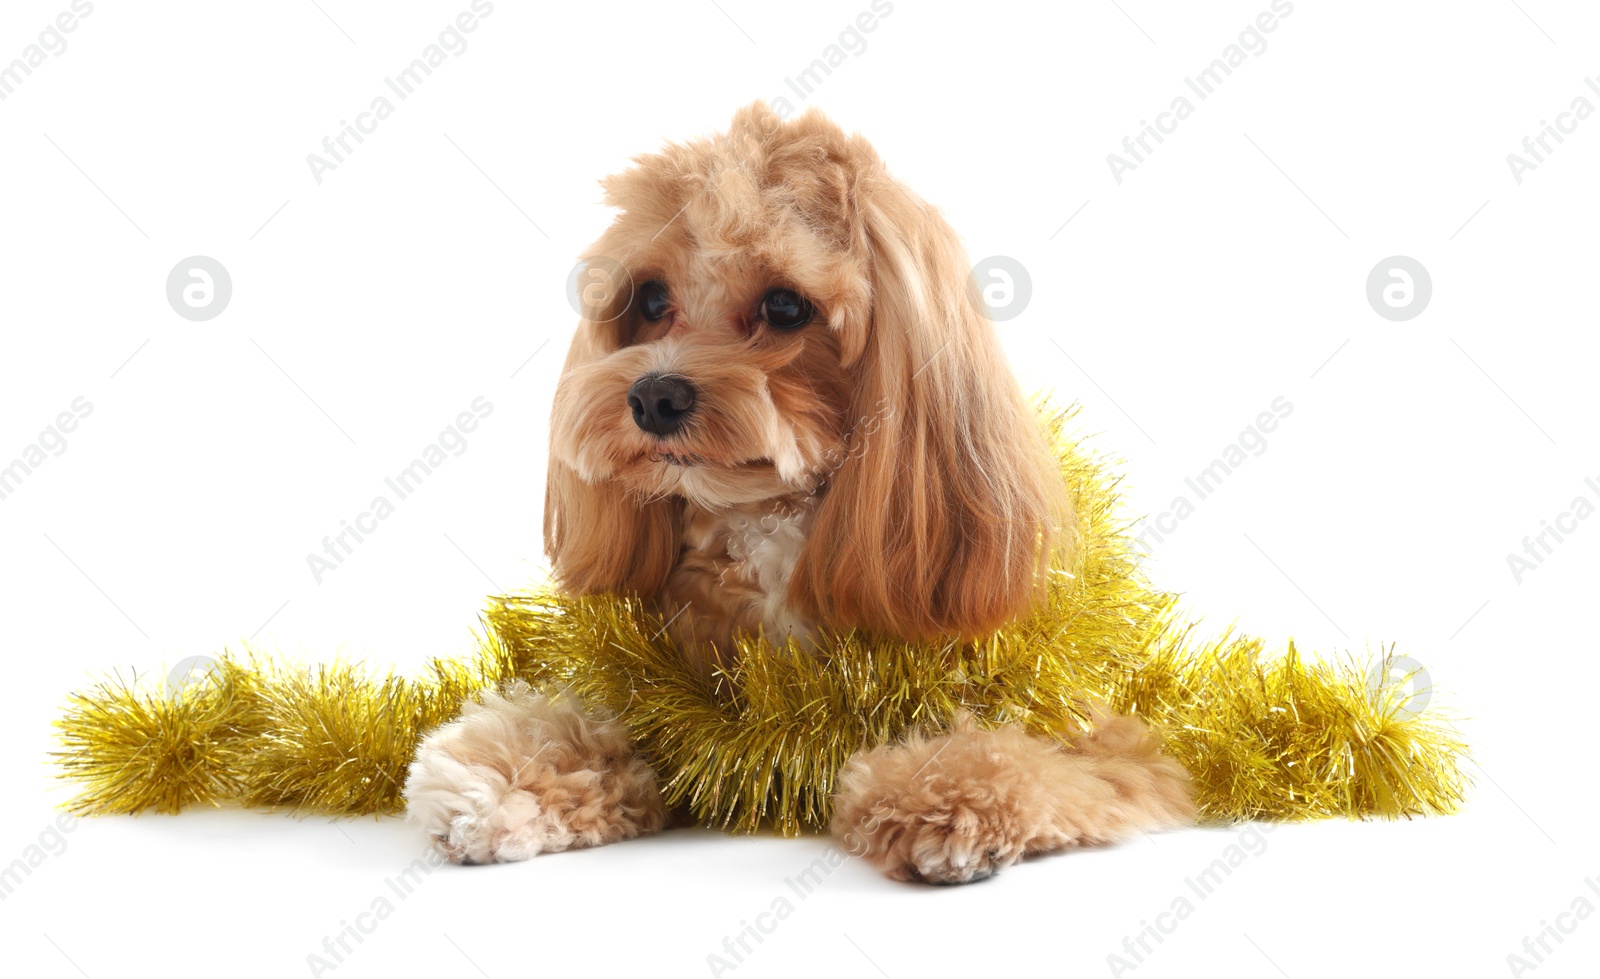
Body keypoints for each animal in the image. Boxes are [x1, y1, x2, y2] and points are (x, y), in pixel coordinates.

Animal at [406, 103, 1196, 883]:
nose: (653, 396)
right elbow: (602, 727)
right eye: (651, 298)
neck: (774, 525)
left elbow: (1025, 748)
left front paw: (946, 789)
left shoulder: (1110, 737)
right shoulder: (676, 703)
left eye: (786, 307)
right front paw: (497, 778)